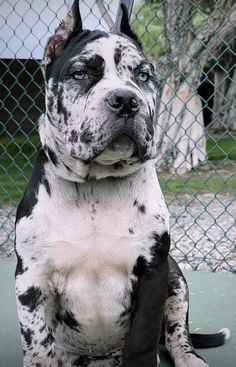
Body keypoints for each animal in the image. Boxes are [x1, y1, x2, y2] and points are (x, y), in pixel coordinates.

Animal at [14, 1, 229, 366]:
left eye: (143, 75)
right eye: (81, 73)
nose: (126, 99)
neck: (95, 188)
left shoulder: (154, 273)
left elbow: (143, 338)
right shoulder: (31, 281)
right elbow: (39, 346)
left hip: (177, 279)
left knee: (176, 334)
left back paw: (189, 357)